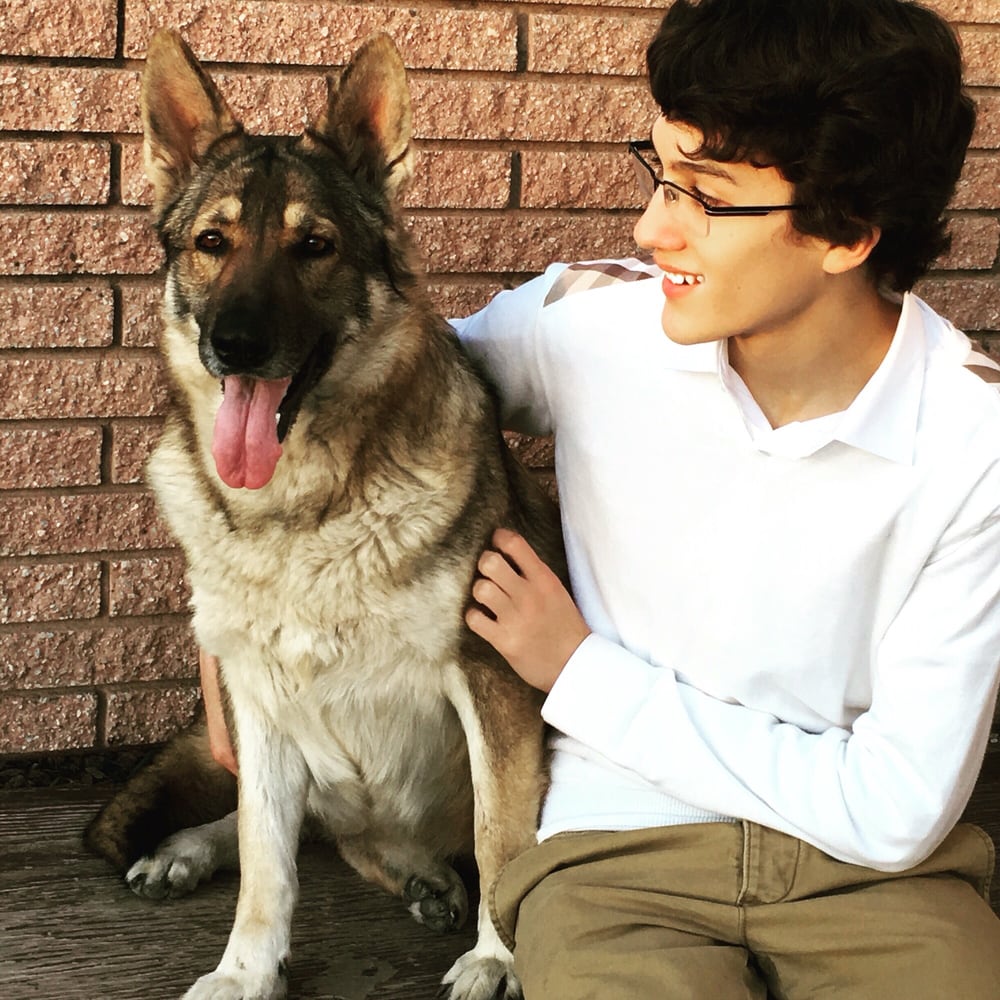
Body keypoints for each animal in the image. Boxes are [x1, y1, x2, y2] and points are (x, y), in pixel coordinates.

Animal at [84, 29, 566, 1000]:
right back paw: (196, 851)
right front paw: (244, 970)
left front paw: (497, 959)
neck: (304, 512)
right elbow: (267, 862)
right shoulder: (258, 697)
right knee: (297, 831)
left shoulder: (492, 680)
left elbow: (501, 838)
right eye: (212, 242)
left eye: (315, 246)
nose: (233, 344)